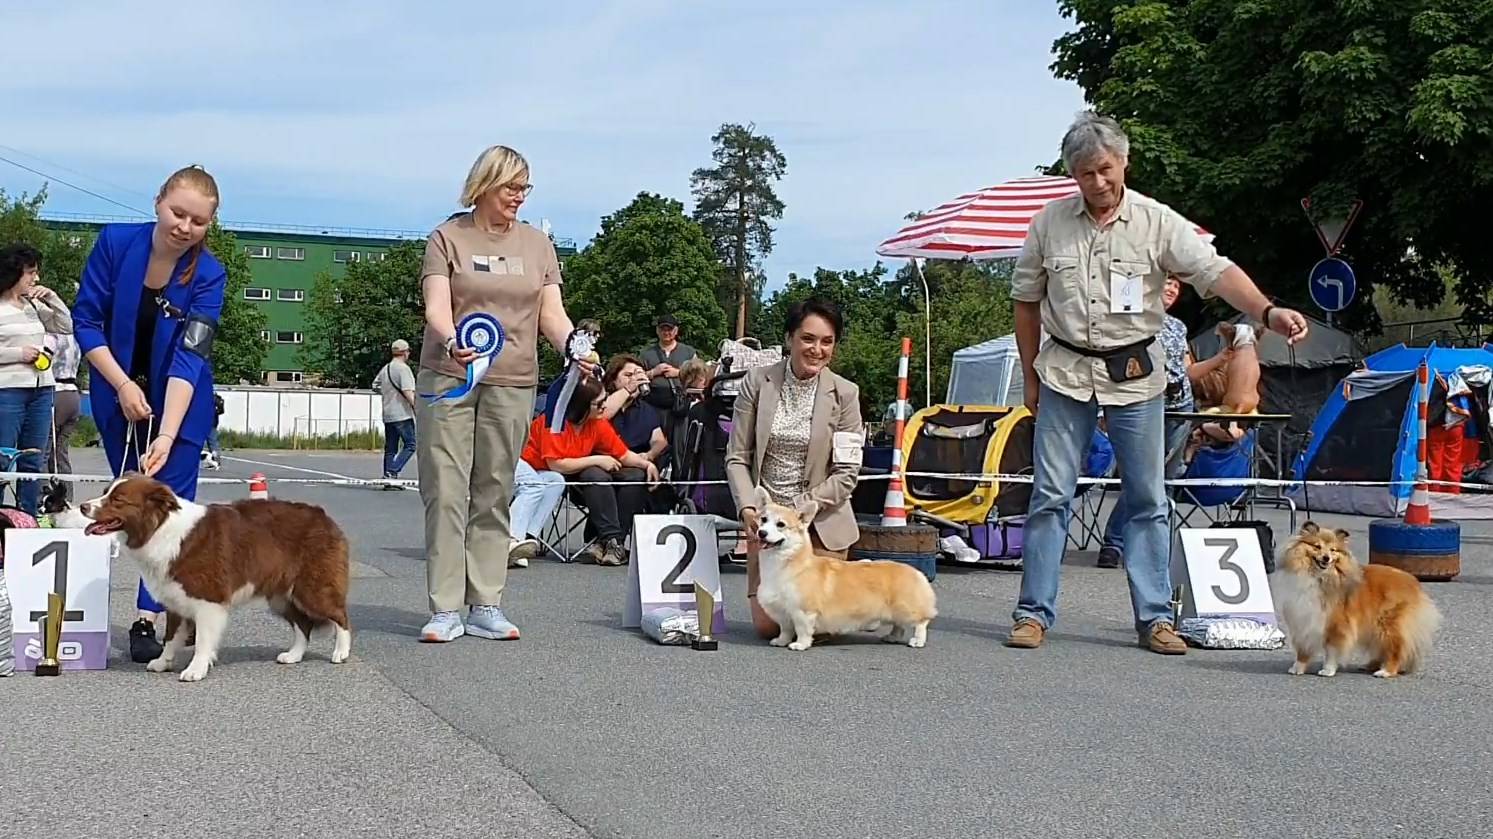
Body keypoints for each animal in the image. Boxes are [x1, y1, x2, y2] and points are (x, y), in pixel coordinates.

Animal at [752, 486, 937, 650]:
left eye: (781, 524)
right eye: (763, 519)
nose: (762, 533)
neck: (784, 563)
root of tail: (916, 572)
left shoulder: (803, 611)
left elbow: (803, 630)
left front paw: (800, 645)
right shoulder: (782, 612)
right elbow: (785, 629)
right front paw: (781, 641)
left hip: (906, 608)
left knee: (921, 622)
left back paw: (917, 641)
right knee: (898, 625)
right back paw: (892, 637)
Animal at [1278, 519, 1439, 674]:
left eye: (1333, 550)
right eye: (1317, 546)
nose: (1326, 558)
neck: (1318, 577)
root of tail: (1414, 582)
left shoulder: (1336, 625)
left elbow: (1331, 651)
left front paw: (1328, 670)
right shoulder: (1302, 620)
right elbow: (1303, 649)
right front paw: (1297, 668)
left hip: (1388, 625)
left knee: (1395, 649)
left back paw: (1386, 671)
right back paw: (1370, 666)